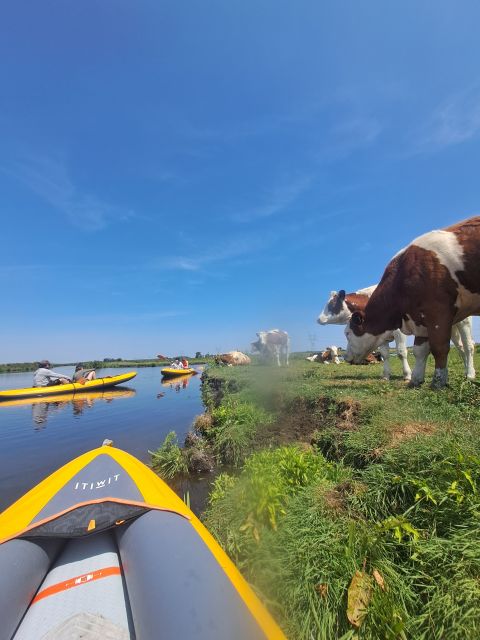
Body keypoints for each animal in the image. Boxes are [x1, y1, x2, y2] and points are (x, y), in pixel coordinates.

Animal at [344, 216, 480, 388]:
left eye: (348, 333)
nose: (345, 357)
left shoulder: (437, 310)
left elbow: (439, 347)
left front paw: (438, 381)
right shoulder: (420, 318)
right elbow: (419, 350)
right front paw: (416, 379)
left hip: (464, 320)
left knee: (468, 346)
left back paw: (470, 374)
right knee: (461, 346)